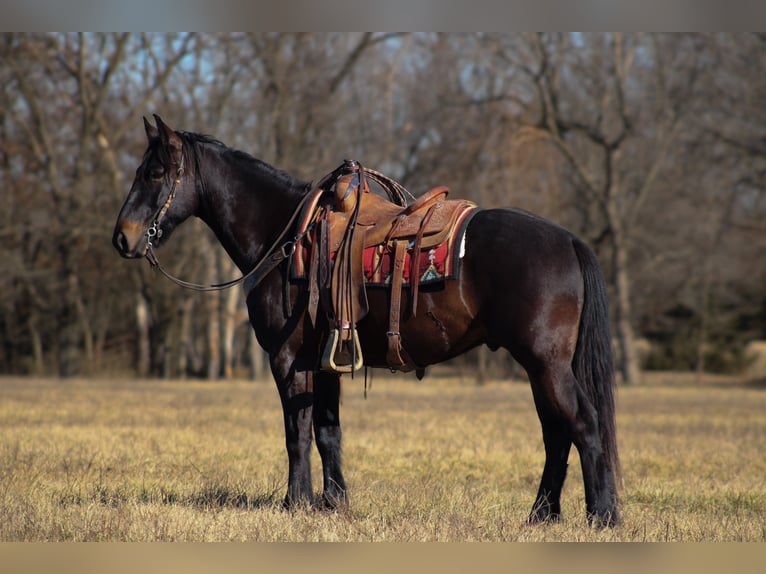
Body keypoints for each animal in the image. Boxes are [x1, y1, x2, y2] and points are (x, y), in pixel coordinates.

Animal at [112, 115, 621, 527]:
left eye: (154, 172)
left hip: (545, 364)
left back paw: (602, 516)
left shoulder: (290, 359)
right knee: (557, 435)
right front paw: (333, 502)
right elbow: (327, 432)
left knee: (583, 426)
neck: (286, 237)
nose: (122, 237)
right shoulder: (324, 361)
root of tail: (568, 240)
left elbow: (297, 433)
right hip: (540, 368)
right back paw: (542, 515)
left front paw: (295, 503)